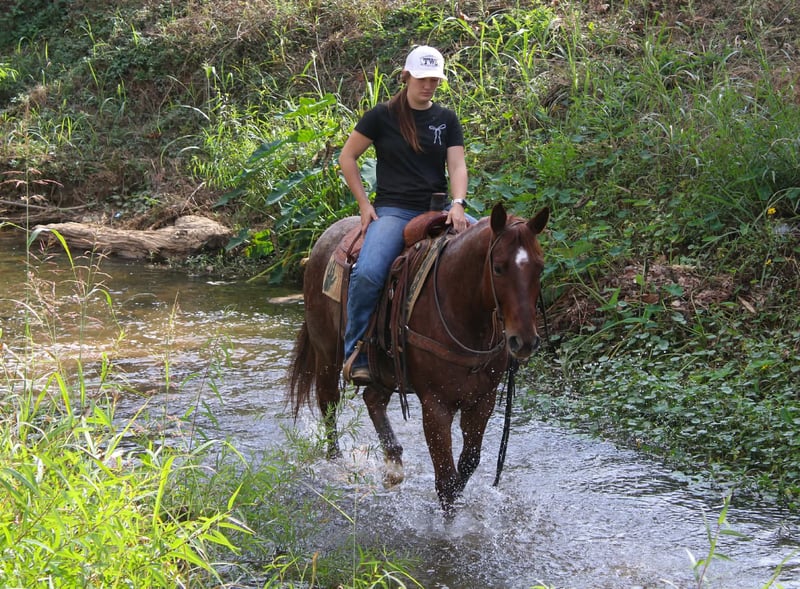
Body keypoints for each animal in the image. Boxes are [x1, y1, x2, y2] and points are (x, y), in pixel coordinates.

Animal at [288, 202, 549, 511]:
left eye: (540, 267)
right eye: (498, 268)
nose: (525, 341)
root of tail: (325, 236)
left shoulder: (482, 400)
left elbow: (468, 464)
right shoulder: (436, 406)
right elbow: (446, 481)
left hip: (386, 368)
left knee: (373, 399)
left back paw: (393, 465)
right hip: (327, 351)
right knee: (328, 402)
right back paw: (336, 462)